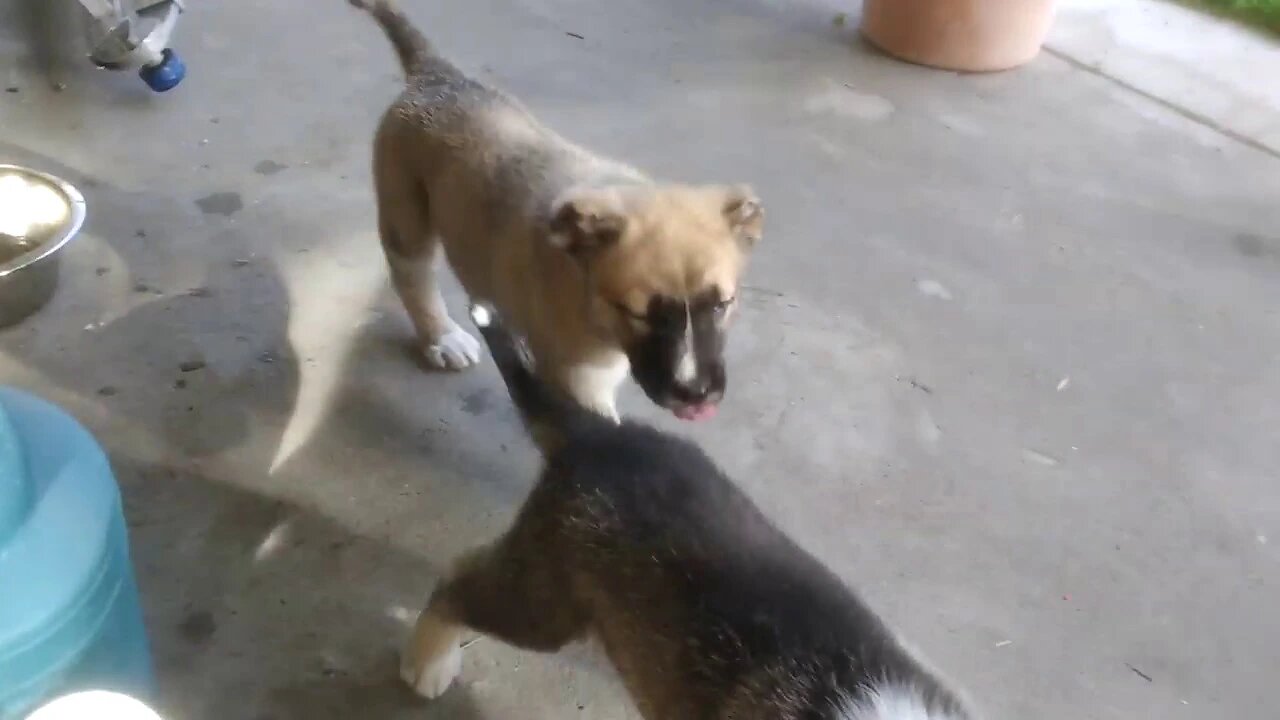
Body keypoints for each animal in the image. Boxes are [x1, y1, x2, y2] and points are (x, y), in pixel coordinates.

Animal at [350, 0, 762, 417]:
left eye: (722, 305)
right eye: (639, 315)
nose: (696, 395)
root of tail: (435, 75)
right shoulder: (580, 376)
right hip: (406, 214)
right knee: (412, 276)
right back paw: (442, 336)